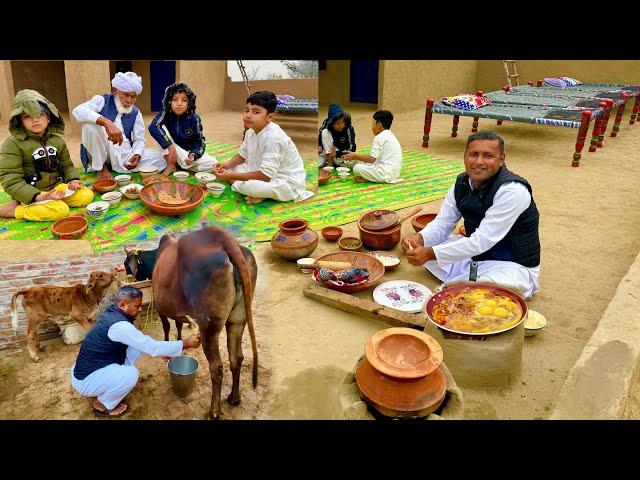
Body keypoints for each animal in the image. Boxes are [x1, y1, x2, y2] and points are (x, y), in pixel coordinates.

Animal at [152, 227, 258, 418]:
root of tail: (221, 237)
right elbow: (178, 326)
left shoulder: (159, 307)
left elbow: (166, 327)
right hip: (237, 320)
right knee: (236, 357)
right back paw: (234, 398)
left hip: (209, 327)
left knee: (216, 367)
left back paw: (213, 411)